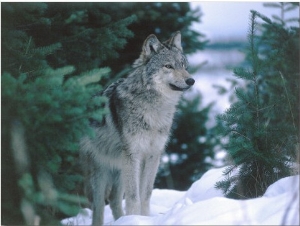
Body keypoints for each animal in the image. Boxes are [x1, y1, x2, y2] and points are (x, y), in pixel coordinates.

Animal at [80, 30, 195, 225]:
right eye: (168, 66)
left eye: (183, 65)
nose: (191, 80)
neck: (154, 109)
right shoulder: (133, 155)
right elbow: (134, 197)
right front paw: (136, 219)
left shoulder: (153, 155)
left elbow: (146, 194)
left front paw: (144, 218)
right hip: (101, 172)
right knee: (98, 206)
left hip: (119, 169)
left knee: (114, 200)